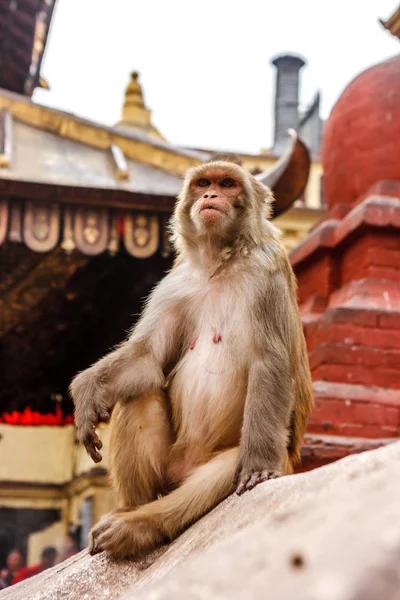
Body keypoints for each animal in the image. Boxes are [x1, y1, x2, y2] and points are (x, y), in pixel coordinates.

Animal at [70, 158, 314, 556]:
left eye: (227, 184)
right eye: (204, 184)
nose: (211, 196)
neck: (220, 262)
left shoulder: (267, 272)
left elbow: (269, 361)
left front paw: (259, 467)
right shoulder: (174, 284)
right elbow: (147, 357)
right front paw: (88, 392)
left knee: (218, 473)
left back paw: (143, 526)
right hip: (168, 464)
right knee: (138, 395)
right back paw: (129, 510)